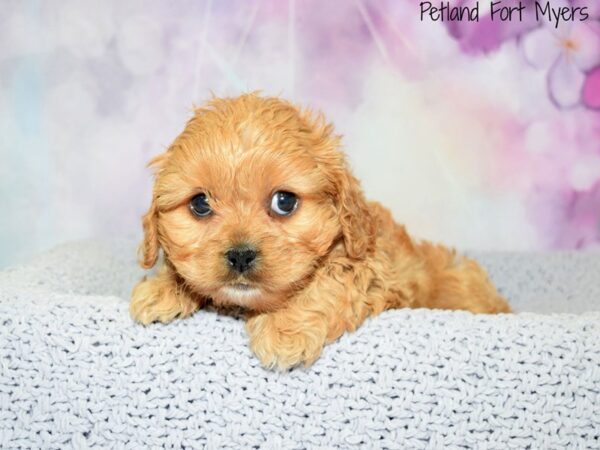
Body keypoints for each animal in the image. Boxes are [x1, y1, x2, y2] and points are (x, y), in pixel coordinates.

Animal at [130, 92, 510, 370]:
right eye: (200, 204)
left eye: (284, 201)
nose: (240, 255)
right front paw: (163, 288)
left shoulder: (373, 271)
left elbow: (332, 281)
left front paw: (284, 329)